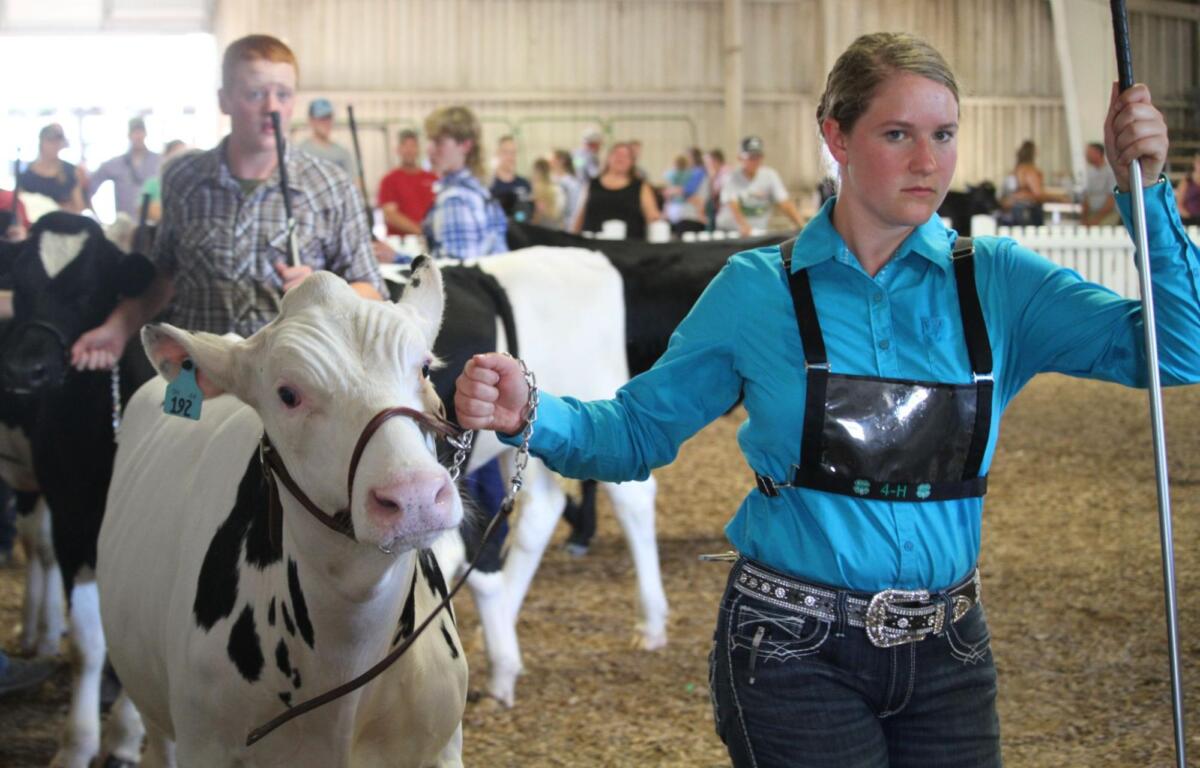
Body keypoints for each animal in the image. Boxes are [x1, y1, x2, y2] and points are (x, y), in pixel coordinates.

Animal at [0, 212, 156, 768]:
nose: (25, 370)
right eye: (21, 285)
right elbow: (89, 643)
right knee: (37, 548)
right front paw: (79, 744)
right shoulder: (71, 515)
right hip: (28, 479)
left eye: (90, 291)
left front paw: (126, 736)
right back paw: (38, 631)